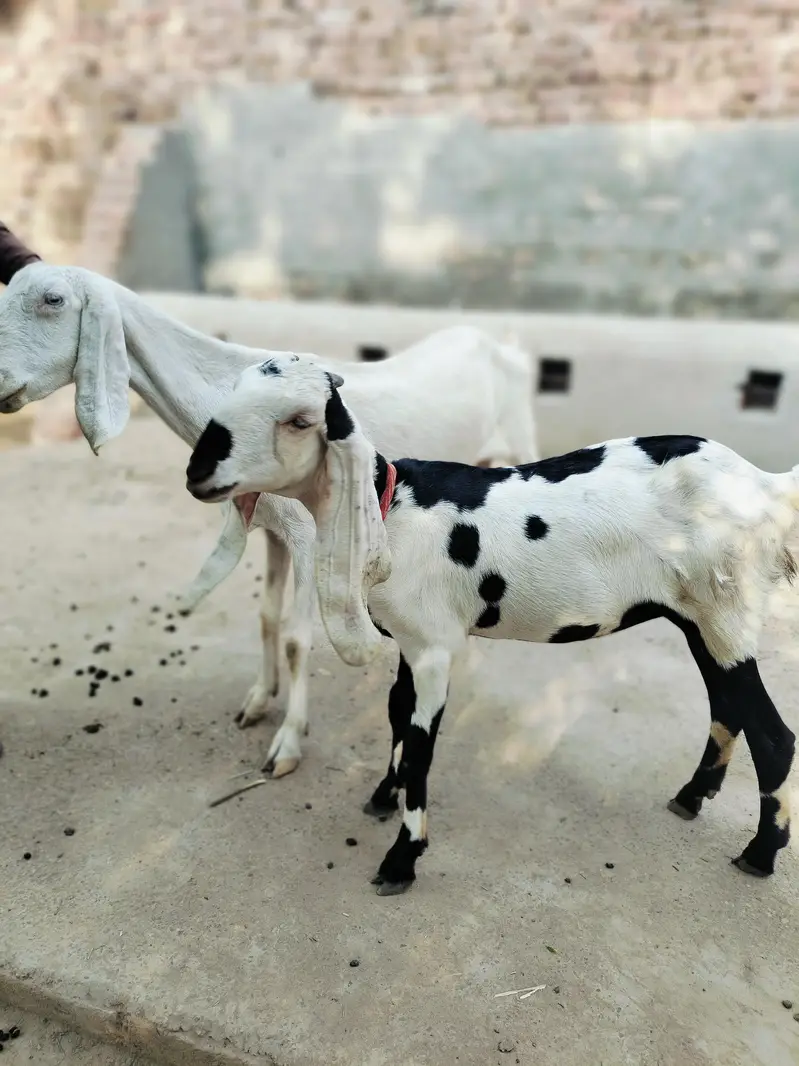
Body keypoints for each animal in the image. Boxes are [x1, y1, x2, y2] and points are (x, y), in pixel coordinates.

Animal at [0, 263, 539, 778]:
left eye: (53, 299)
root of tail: (502, 344)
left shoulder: (311, 539)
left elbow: (298, 640)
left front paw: (288, 742)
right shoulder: (273, 531)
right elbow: (266, 618)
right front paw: (259, 700)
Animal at [186, 353, 797, 895]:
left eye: (300, 420)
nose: (197, 471)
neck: (393, 507)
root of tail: (765, 487)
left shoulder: (435, 649)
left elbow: (420, 745)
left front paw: (402, 859)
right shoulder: (411, 641)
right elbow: (396, 716)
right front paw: (383, 795)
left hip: (726, 612)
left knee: (774, 736)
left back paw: (759, 854)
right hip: (702, 618)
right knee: (728, 707)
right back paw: (692, 797)